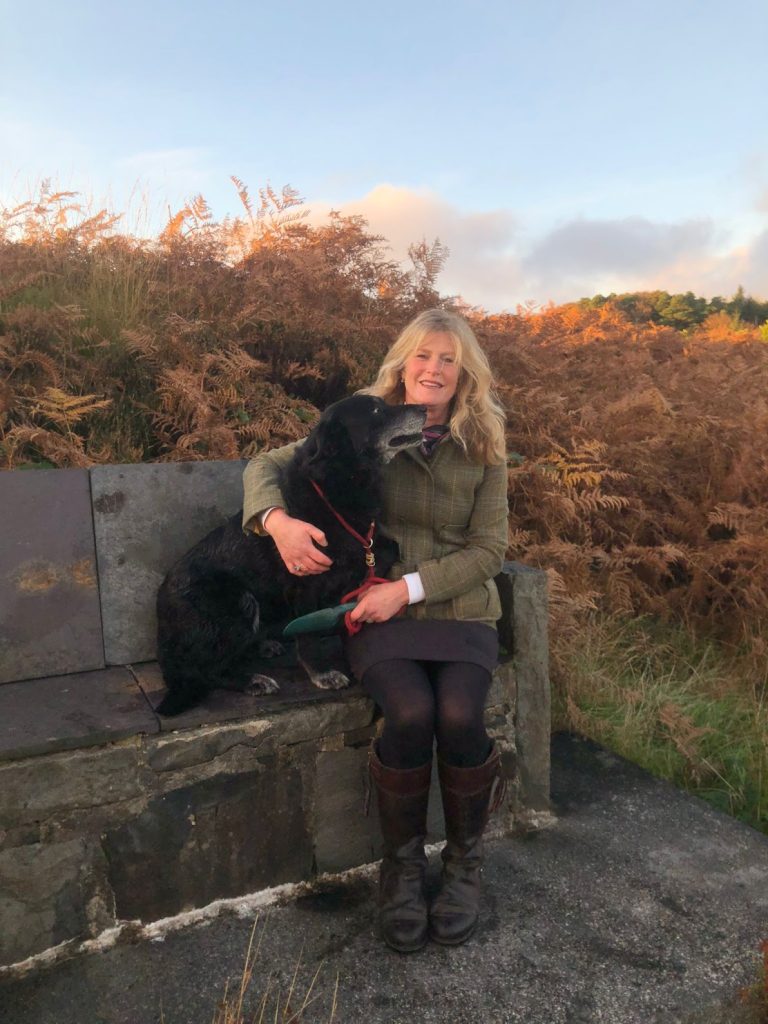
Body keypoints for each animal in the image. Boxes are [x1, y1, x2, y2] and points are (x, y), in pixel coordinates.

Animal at [154, 395, 428, 716]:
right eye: (375, 410)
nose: (424, 408)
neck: (336, 485)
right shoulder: (305, 583)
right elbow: (308, 637)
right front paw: (322, 674)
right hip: (238, 600)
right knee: (207, 669)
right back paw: (252, 680)